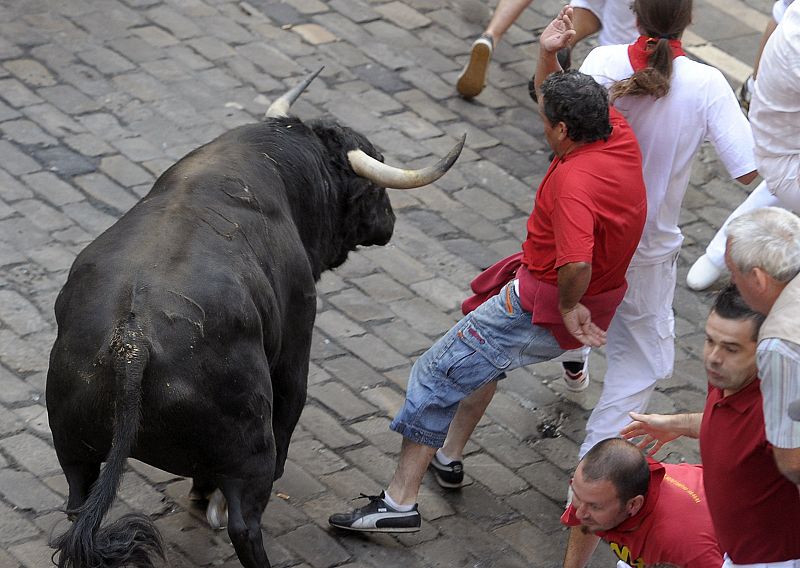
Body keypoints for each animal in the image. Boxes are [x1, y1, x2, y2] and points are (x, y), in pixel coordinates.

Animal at [47, 72, 462, 568]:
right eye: (374, 181)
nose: (390, 222)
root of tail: (133, 342)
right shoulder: (297, 339)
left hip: (72, 446)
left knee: (76, 507)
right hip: (251, 449)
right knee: (246, 523)